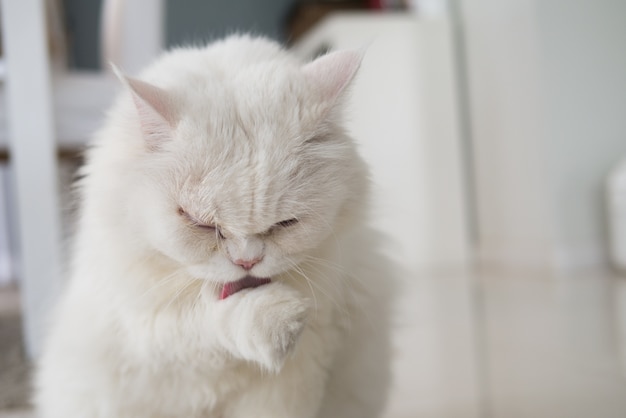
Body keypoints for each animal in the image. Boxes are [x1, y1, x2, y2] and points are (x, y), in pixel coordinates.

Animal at [34, 36, 392, 418]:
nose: (247, 261)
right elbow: (206, 321)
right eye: (201, 224)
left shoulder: (306, 359)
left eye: (284, 223)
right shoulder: (143, 326)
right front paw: (277, 323)